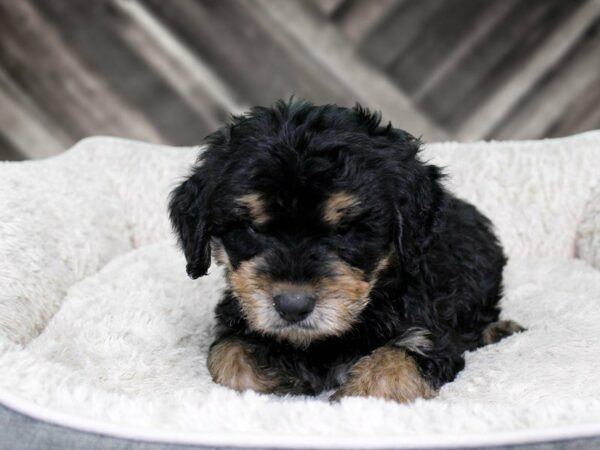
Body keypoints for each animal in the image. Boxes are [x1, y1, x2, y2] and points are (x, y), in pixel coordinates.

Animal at [170, 100, 524, 402]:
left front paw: (357, 393)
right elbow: (229, 356)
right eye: (253, 228)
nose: (293, 306)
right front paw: (283, 379)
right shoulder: (238, 317)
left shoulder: (428, 333)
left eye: (346, 229)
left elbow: (391, 369)